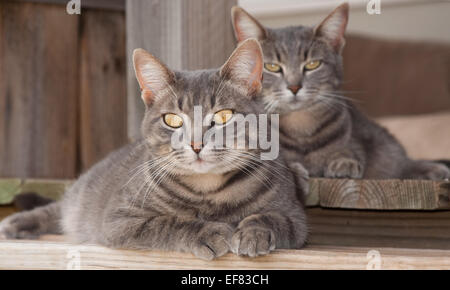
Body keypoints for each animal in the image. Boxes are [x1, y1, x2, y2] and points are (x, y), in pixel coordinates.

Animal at [0, 39, 308, 260]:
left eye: (222, 116)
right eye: (172, 120)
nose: (196, 144)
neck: (208, 191)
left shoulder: (296, 216)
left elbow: (275, 218)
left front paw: (254, 231)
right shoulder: (119, 218)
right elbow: (167, 222)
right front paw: (207, 231)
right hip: (81, 199)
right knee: (57, 209)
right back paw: (15, 224)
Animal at [232, 3, 450, 180]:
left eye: (312, 64)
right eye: (273, 67)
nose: (294, 87)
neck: (300, 127)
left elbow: (348, 150)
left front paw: (344, 161)